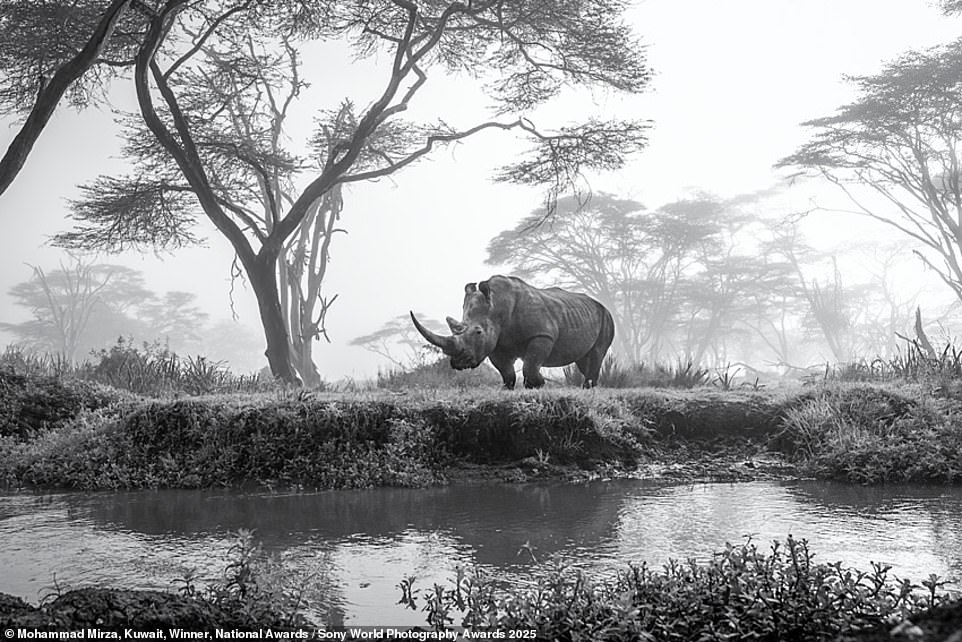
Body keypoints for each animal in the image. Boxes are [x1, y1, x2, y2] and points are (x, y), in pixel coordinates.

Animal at [408, 274, 612, 388]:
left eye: (478, 332)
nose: (458, 363)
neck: (497, 306)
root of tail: (600, 304)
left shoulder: (542, 335)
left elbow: (531, 364)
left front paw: (537, 385)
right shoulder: (496, 343)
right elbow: (506, 371)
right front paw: (507, 388)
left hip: (606, 317)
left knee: (597, 352)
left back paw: (588, 388)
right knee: (582, 359)